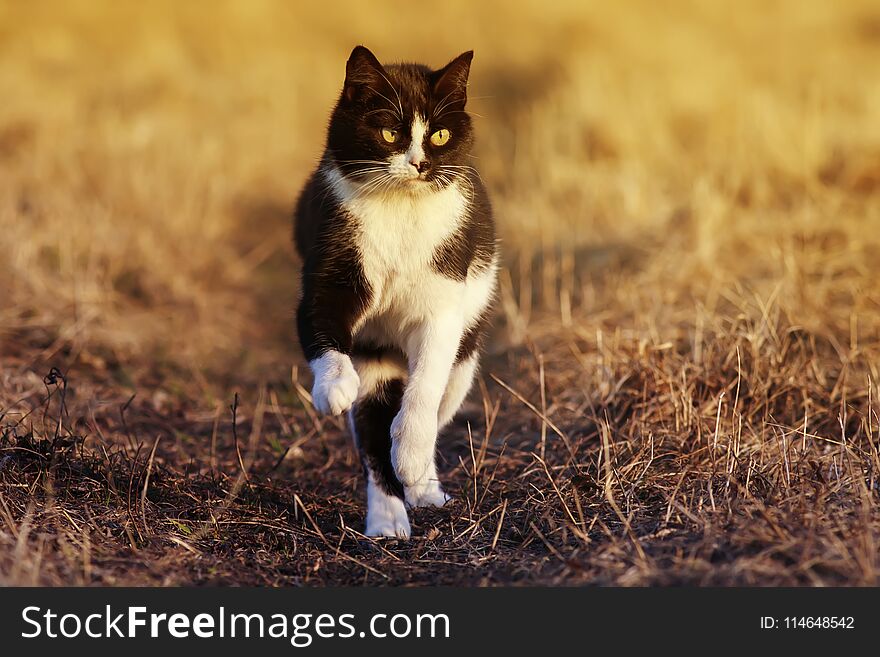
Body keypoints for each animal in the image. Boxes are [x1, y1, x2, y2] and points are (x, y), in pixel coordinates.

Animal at [296, 46, 498, 540]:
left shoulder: (443, 306)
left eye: (440, 135)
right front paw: (334, 387)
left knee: (438, 398)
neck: (401, 210)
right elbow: (319, 323)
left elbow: (425, 387)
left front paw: (410, 458)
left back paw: (422, 485)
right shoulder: (330, 268)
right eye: (389, 131)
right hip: (376, 355)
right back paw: (387, 518)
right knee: (373, 424)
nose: (420, 164)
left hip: (467, 352)